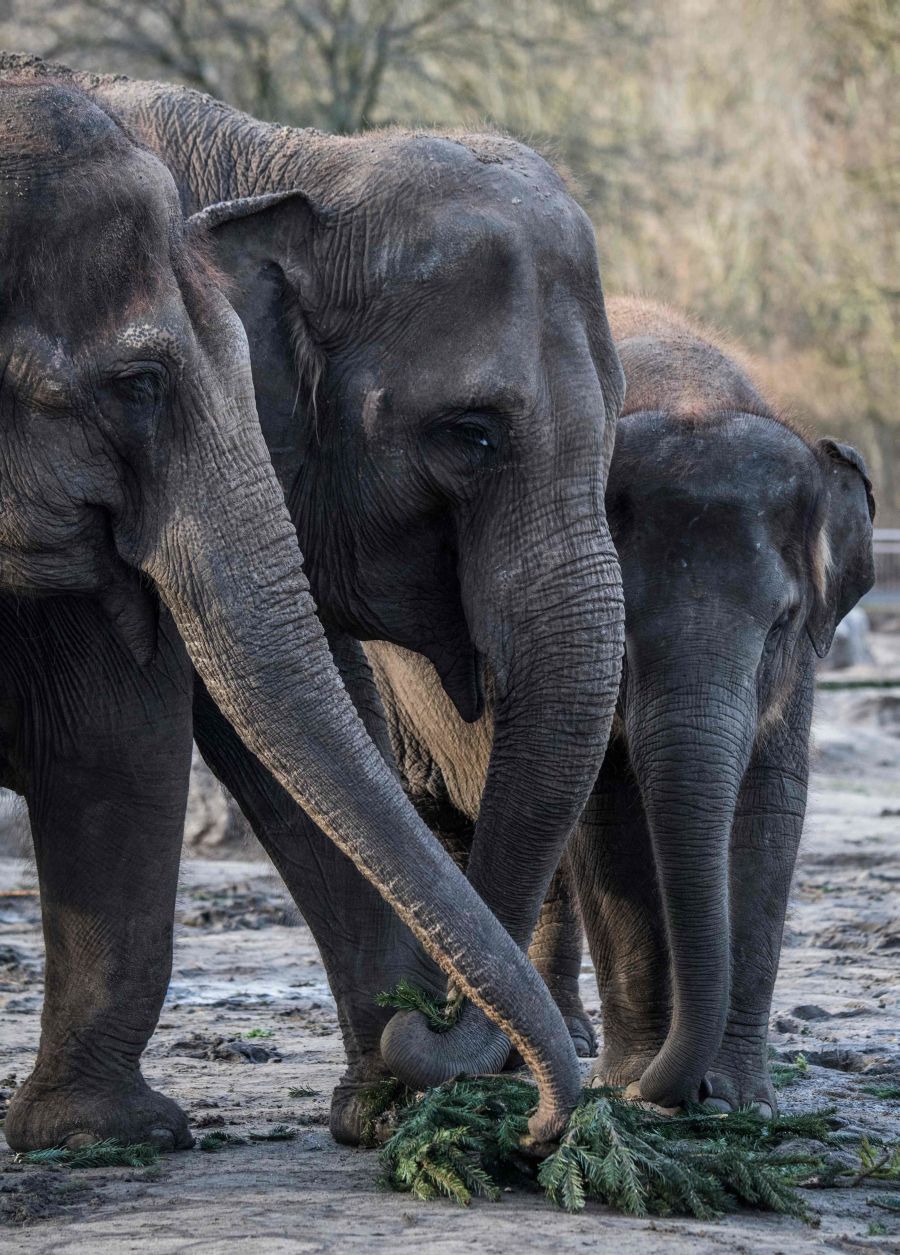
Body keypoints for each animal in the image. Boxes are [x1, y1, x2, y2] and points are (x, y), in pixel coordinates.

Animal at [0, 53, 625, 1144]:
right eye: (471, 434)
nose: (539, 1119)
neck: (299, 161)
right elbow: (118, 727)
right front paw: (107, 1134)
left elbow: (296, 741)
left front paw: (383, 1105)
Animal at [364, 298, 868, 1114]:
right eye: (620, 628)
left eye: (783, 624)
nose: (680, 1092)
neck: (691, 391)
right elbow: (605, 820)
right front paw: (630, 1087)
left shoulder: (799, 678)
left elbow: (769, 815)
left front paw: (735, 1103)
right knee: (459, 832)